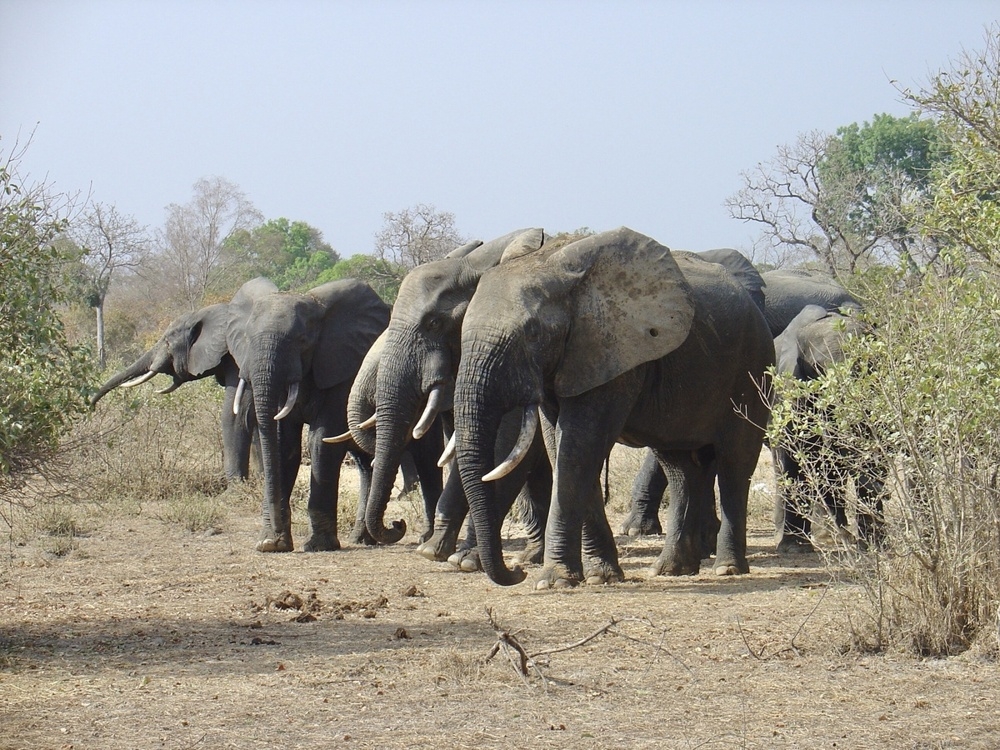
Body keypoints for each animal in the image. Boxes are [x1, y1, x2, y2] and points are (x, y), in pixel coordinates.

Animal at [90, 279, 279, 483]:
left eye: (167, 341)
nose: (91, 407)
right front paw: (260, 480)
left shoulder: (241, 360)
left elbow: (236, 413)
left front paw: (236, 485)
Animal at [226, 277, 389, 552]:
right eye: (247, 338)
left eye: (302, 340)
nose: (273, 539)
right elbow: (283, 445)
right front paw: (272, 543)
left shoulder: (342, 369)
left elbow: (320, 441)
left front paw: (318, 545)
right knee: (365, 462)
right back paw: (362, 539)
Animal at [349, 229, 552, 570]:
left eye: (433, 323)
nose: (397, 525)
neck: (477, 261)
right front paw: (436, 550)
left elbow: (501, 447)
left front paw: (457, 556)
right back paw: (533, 556)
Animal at [453, 227, 774, 587]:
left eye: (532, 333)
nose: (517, 571)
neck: (556, 268)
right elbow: (561, 446)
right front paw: (600, 576)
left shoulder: (614, 352)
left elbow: (580, 444)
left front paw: (555, 580)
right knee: (680, 469)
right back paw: (671, 569)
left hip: (752, 370)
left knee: (734, 464)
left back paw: (727, 568)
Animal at [772, 304, 884, 552]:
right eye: (818, 367)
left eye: (868, 363)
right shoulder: (789, 385)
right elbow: (794, 454)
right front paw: (793, 547)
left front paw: (872, 544)